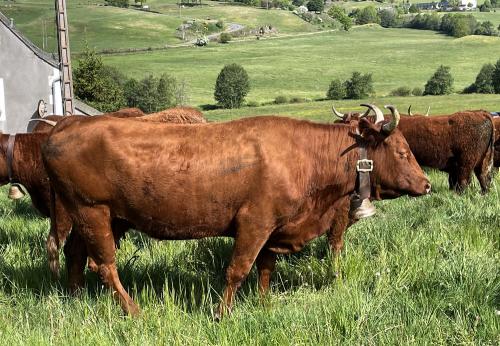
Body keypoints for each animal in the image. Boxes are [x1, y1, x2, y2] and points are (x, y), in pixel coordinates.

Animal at [42, 111, 430, 318]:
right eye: (402, 151)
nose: (427, 184)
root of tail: (66, 125)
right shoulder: (254, 223)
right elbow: (237, 270)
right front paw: (221, 313)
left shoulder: (275, 229)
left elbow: (266, 269)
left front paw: (264, 304)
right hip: (92, 212)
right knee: (104, 265)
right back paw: (134, 311)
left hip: (99, 217)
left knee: (75, 253)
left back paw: (75, 298)